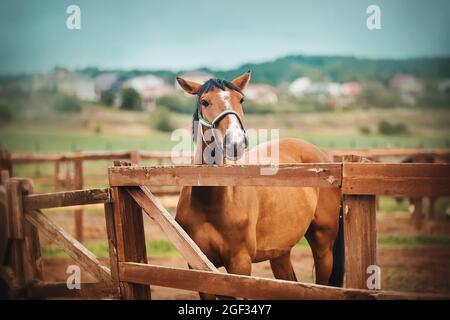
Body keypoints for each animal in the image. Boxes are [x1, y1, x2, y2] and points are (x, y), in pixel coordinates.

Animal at [174, 71, 342, 298]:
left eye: (241, 100)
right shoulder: (198, 268)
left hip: (323, 246)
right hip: (280, 251)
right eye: (205, 102)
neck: (210, 202)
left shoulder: (240, 265)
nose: (235, 143)